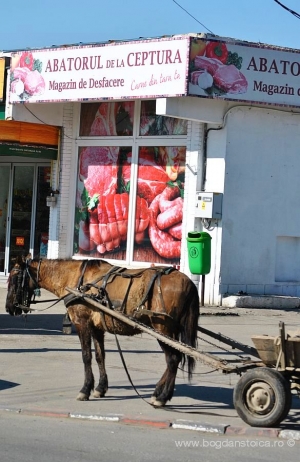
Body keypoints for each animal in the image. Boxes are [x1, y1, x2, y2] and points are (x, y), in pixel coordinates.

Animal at [4, 258, 200, 406]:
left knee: (172, 359)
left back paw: (162, 397)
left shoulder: (82, 323)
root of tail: (189, 282)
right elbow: (100, 356)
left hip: (163, 329)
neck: (77, 279)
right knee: (175, 359)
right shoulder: (97, 328)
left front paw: (85, 389)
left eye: (15, 276)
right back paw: (159, 391)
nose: (9, 307)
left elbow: (86, 356)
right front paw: (100, 388)